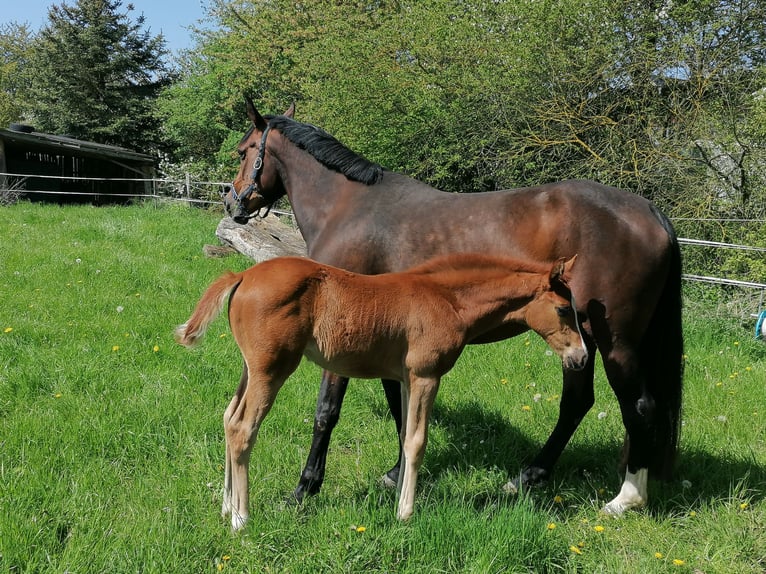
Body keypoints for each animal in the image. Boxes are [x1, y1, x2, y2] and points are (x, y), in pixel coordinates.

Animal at [176, 253, 588, 529]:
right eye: (564, 309)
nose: (581, 357)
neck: (448, 300)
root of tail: (243, 274)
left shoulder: (406, 379)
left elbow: (405, 435)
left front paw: (396, 499)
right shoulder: (426, 376)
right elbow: (417, 441)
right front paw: (406, 512)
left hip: (250, 368)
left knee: (228, 418)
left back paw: (226, 507)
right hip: (271, 370)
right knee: (243, 428)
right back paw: (241, 518)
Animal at [222, 99, 684, 516]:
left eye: (244, 151)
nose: (232, 203)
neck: (348, 208)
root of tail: (649, 212)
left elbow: (326, 413)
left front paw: (304, 490)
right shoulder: (388, 341)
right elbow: (400, 409)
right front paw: (396, 474)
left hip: (613, 343)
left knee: (639, 407)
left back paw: (625, 498)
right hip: (576, 343)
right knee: (577, 402)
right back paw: (527, 477)